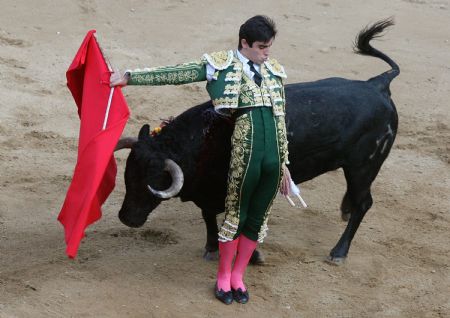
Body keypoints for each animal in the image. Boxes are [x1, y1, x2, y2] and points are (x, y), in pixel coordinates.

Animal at [115, 18, 398, 264]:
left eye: (152, 181)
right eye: (127, 177)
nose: (126, 218)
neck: (201, 142)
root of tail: (377, 84)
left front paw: (252, 256)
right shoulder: (207, 193)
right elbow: (208, 216)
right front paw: (211, 248)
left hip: (363, 166)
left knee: (364, 202)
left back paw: (339, 251)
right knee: (356, 199)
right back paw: (344, 210)